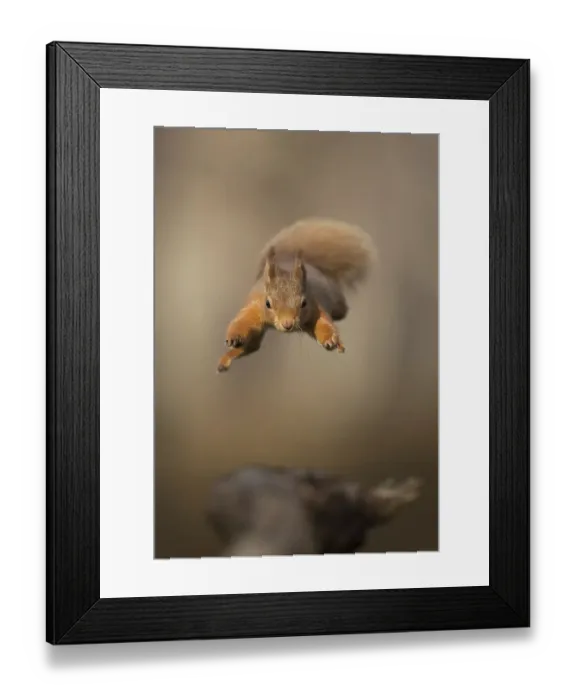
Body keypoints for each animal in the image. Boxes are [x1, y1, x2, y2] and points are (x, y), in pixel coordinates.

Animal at [217, 217, 377, 372]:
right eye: (268, 303)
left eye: (303, 303)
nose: (287, 324)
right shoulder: (255, 307)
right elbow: (242, 322)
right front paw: (234, 337)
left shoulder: (315, 306)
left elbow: (324, 323)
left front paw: (330, 339)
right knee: (252, 345)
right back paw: (226, 359)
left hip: (335, 301)